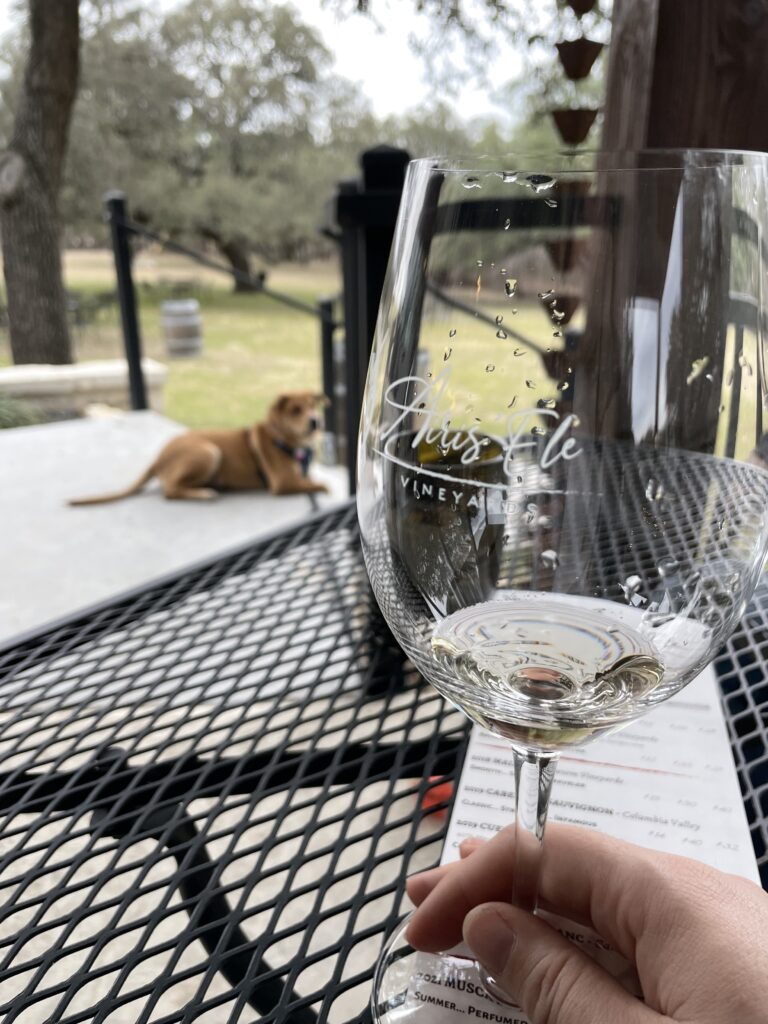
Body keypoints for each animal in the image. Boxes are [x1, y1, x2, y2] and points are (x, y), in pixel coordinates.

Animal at [69, 392, 329, 505]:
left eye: (312, 406)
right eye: (295, 410)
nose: (315, 421)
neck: (282, 438)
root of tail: (158, 457)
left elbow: (310, 478)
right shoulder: (281, 482)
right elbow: (318, 484)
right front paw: (322, 487)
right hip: (208, 452)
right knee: (170, 490)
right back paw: (204, 493)